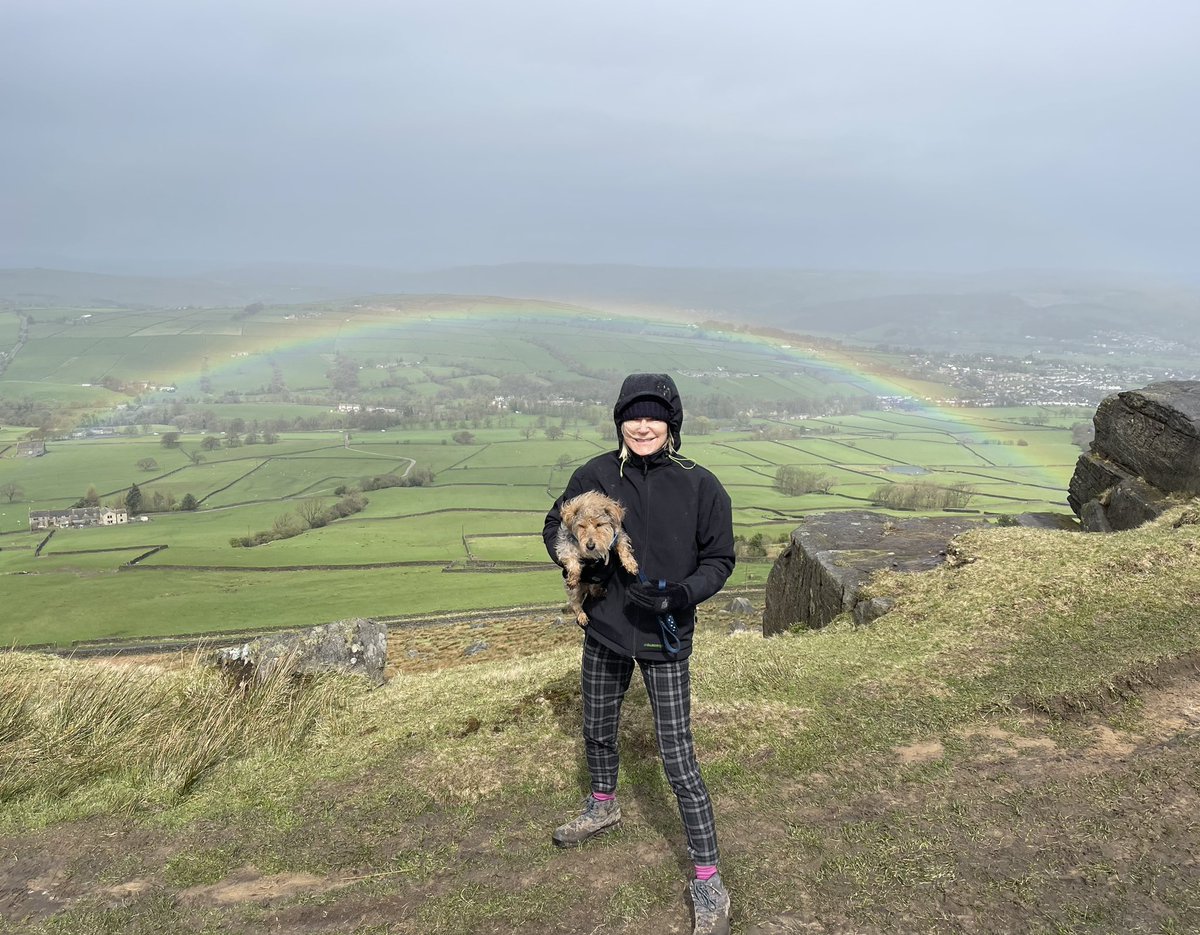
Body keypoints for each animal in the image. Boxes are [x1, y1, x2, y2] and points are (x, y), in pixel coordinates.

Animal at [556, 489, 643, 628]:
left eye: (599, 524)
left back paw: (600, 591)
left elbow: (623, 548)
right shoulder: (566, 546)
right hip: (576, 592)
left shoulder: (617, 536)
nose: (590, 546)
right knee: (575, 603)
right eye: (582, 526)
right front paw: (573, 577)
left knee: (593, 589)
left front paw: (630, 564)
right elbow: (573, 562)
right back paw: (581, 615)